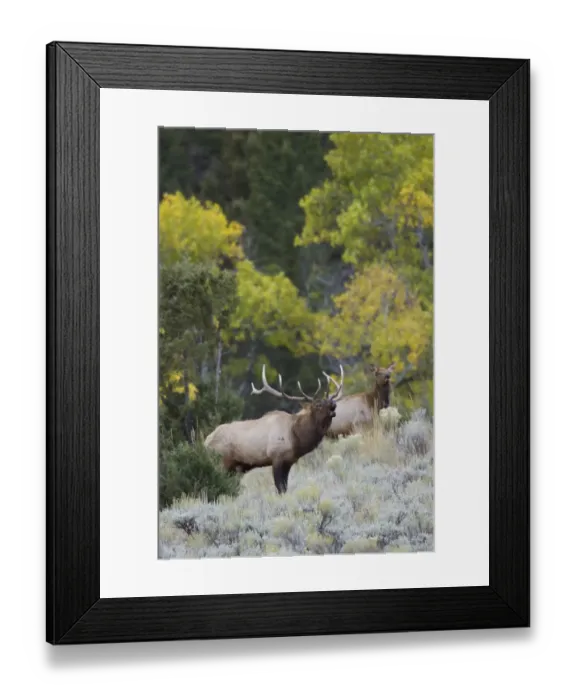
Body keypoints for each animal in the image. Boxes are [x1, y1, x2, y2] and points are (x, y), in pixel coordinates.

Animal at [203, 364, 344, 494]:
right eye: (318, 405)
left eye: (330, 400)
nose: (333, 404)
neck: (296, 438)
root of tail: (206, 441)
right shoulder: (276, 456)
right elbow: (280, 488)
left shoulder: (289, 461)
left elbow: (285, 488)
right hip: (222, 462)